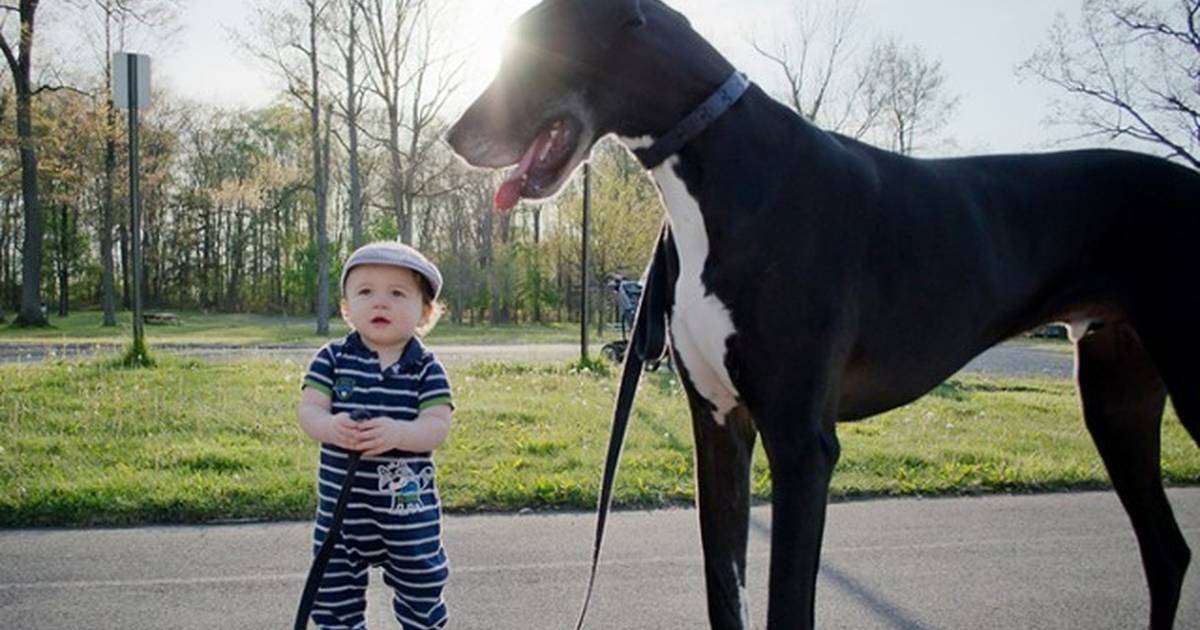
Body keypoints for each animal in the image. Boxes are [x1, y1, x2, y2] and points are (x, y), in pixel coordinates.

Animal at [448, 2, 1200, 624]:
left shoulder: (801, 441)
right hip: (1114, 397)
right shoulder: (718, 428)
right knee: (1167, 551)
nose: (455, 136)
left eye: (532, 45)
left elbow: (788, 607)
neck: (719, 165)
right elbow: (726, 596)